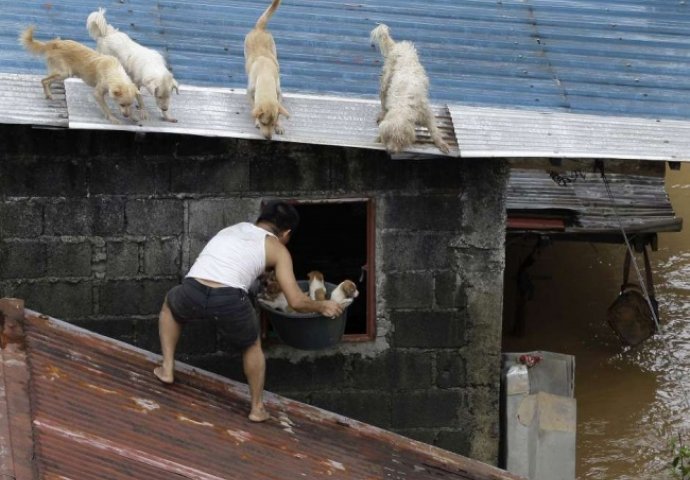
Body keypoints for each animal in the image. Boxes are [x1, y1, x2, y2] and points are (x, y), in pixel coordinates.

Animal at [243, 0, 288, 139]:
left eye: (272, 124)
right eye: (264, 123)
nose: (268, 138)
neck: (265, 76)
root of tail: (259, 28)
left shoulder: (279, 93)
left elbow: (279, 109)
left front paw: (279, 125)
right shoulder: (249, 93)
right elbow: (254, 107)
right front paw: (256, 121)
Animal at [368, 23, 448, 155]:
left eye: (399, 140)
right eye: (388, 137)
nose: (390, 151)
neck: (403, 106)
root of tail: (399, 46)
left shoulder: (426, 113)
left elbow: (434, 129)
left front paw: (441, 143)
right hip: (385, 80)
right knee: (383, 98)